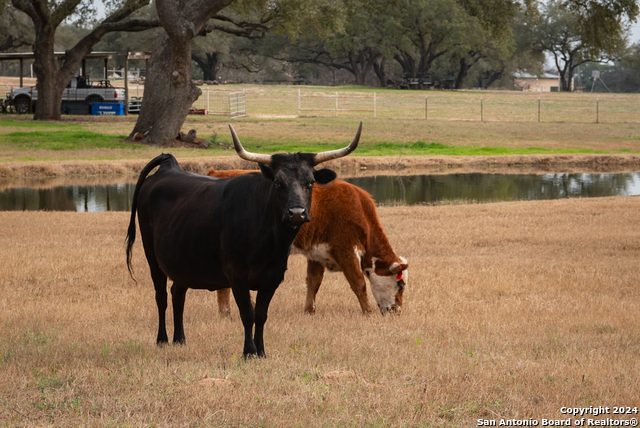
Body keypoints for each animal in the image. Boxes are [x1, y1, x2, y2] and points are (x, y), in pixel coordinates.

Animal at [127, 123, 362, 358]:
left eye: (311, 182)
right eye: (278, 183)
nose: (297, 213)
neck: (269, 241)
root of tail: (168, 167)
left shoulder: (273, 278)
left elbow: (261, 315)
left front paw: (261, 351)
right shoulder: (237, 276)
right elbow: (248, 314)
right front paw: (249, 351)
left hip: (182, 261)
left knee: (177, 294)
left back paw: (180, 339)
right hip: (152, 256)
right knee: (161, 296)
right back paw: (162, 339)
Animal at [210, 167, 410, 314]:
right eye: (400, 285)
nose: (397, 311)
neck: (358, 207)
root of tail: (216, 173)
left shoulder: (316, 252)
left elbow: (313, 282)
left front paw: (309, 311)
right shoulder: (346, 249)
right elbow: (359, 283)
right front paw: (368, 312)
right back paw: (226, 312)